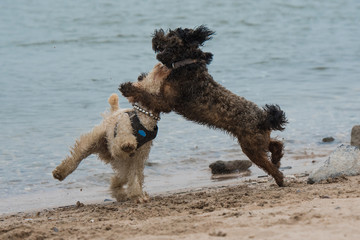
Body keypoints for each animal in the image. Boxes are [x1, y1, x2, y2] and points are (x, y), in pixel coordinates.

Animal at [119, 26, 288, 188]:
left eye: (170, 34)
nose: (155, 35)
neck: (187, 64)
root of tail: (265, 118)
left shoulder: (166, 102)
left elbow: (146, 95)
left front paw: (128, 88)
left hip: (250, 146)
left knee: (271, 166)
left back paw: (280, 179)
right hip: (258, 140)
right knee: (276, 144)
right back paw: (276, 158)